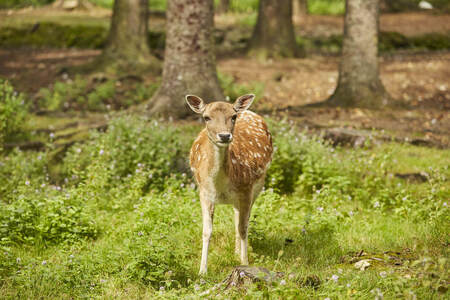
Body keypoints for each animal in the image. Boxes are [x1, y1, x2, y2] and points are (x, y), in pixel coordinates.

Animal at [185, 94, 272, 274]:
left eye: (233, 117)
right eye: (206, 117)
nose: (224, 136)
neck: (220, 186)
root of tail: (249, 111)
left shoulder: (246, 189)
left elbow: (243, 227)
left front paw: (245, 263)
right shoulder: (204, 193)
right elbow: (206, 231)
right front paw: (202, 271)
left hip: (258, 185)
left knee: (242, 220)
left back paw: (238, 253)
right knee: (236, 215)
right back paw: (236, 251)